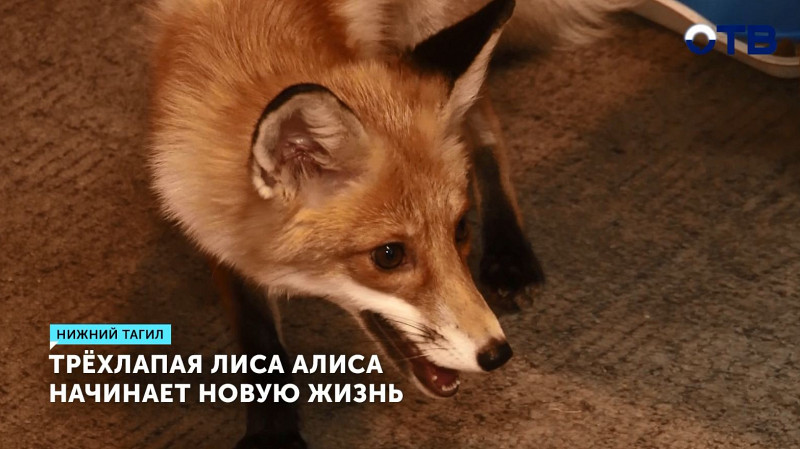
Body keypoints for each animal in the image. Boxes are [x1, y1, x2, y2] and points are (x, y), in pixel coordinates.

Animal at [148, 0, 631, 446]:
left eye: (460, 229)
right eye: (388, 256)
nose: (497, 354)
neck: (244, 33)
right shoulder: (206, 214)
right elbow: (258, 338)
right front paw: (273, 432)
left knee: (484, 127)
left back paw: (510, 254)